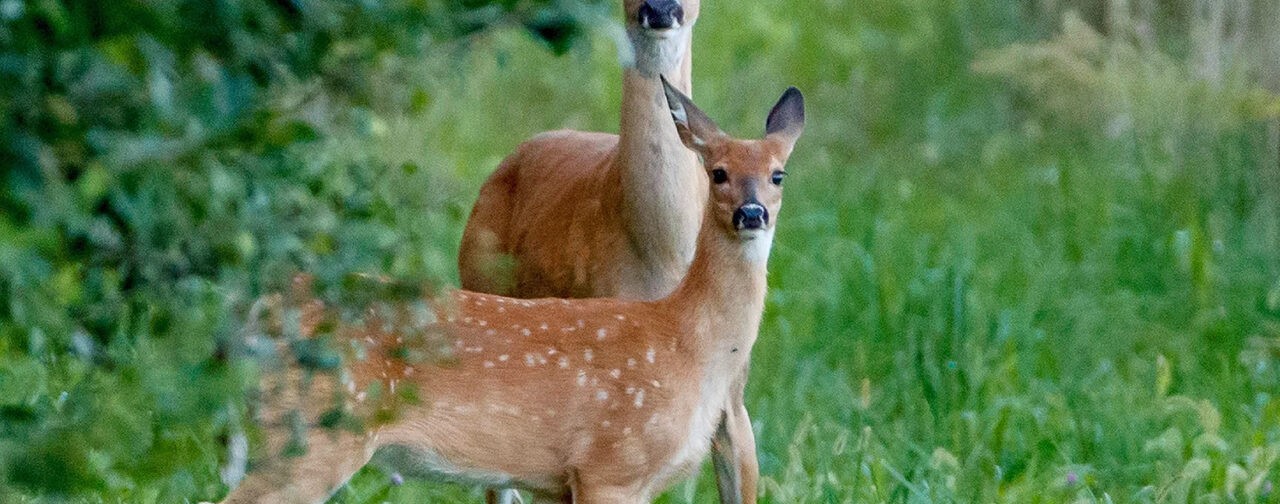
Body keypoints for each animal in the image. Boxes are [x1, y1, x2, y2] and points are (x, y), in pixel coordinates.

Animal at [220, 80, 798, 501]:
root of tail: (265, 307)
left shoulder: (561, 480)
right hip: (313, 439)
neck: (686, 344)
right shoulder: (610, 464)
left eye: (778, 175)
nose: (751, 213)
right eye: (717, 172)